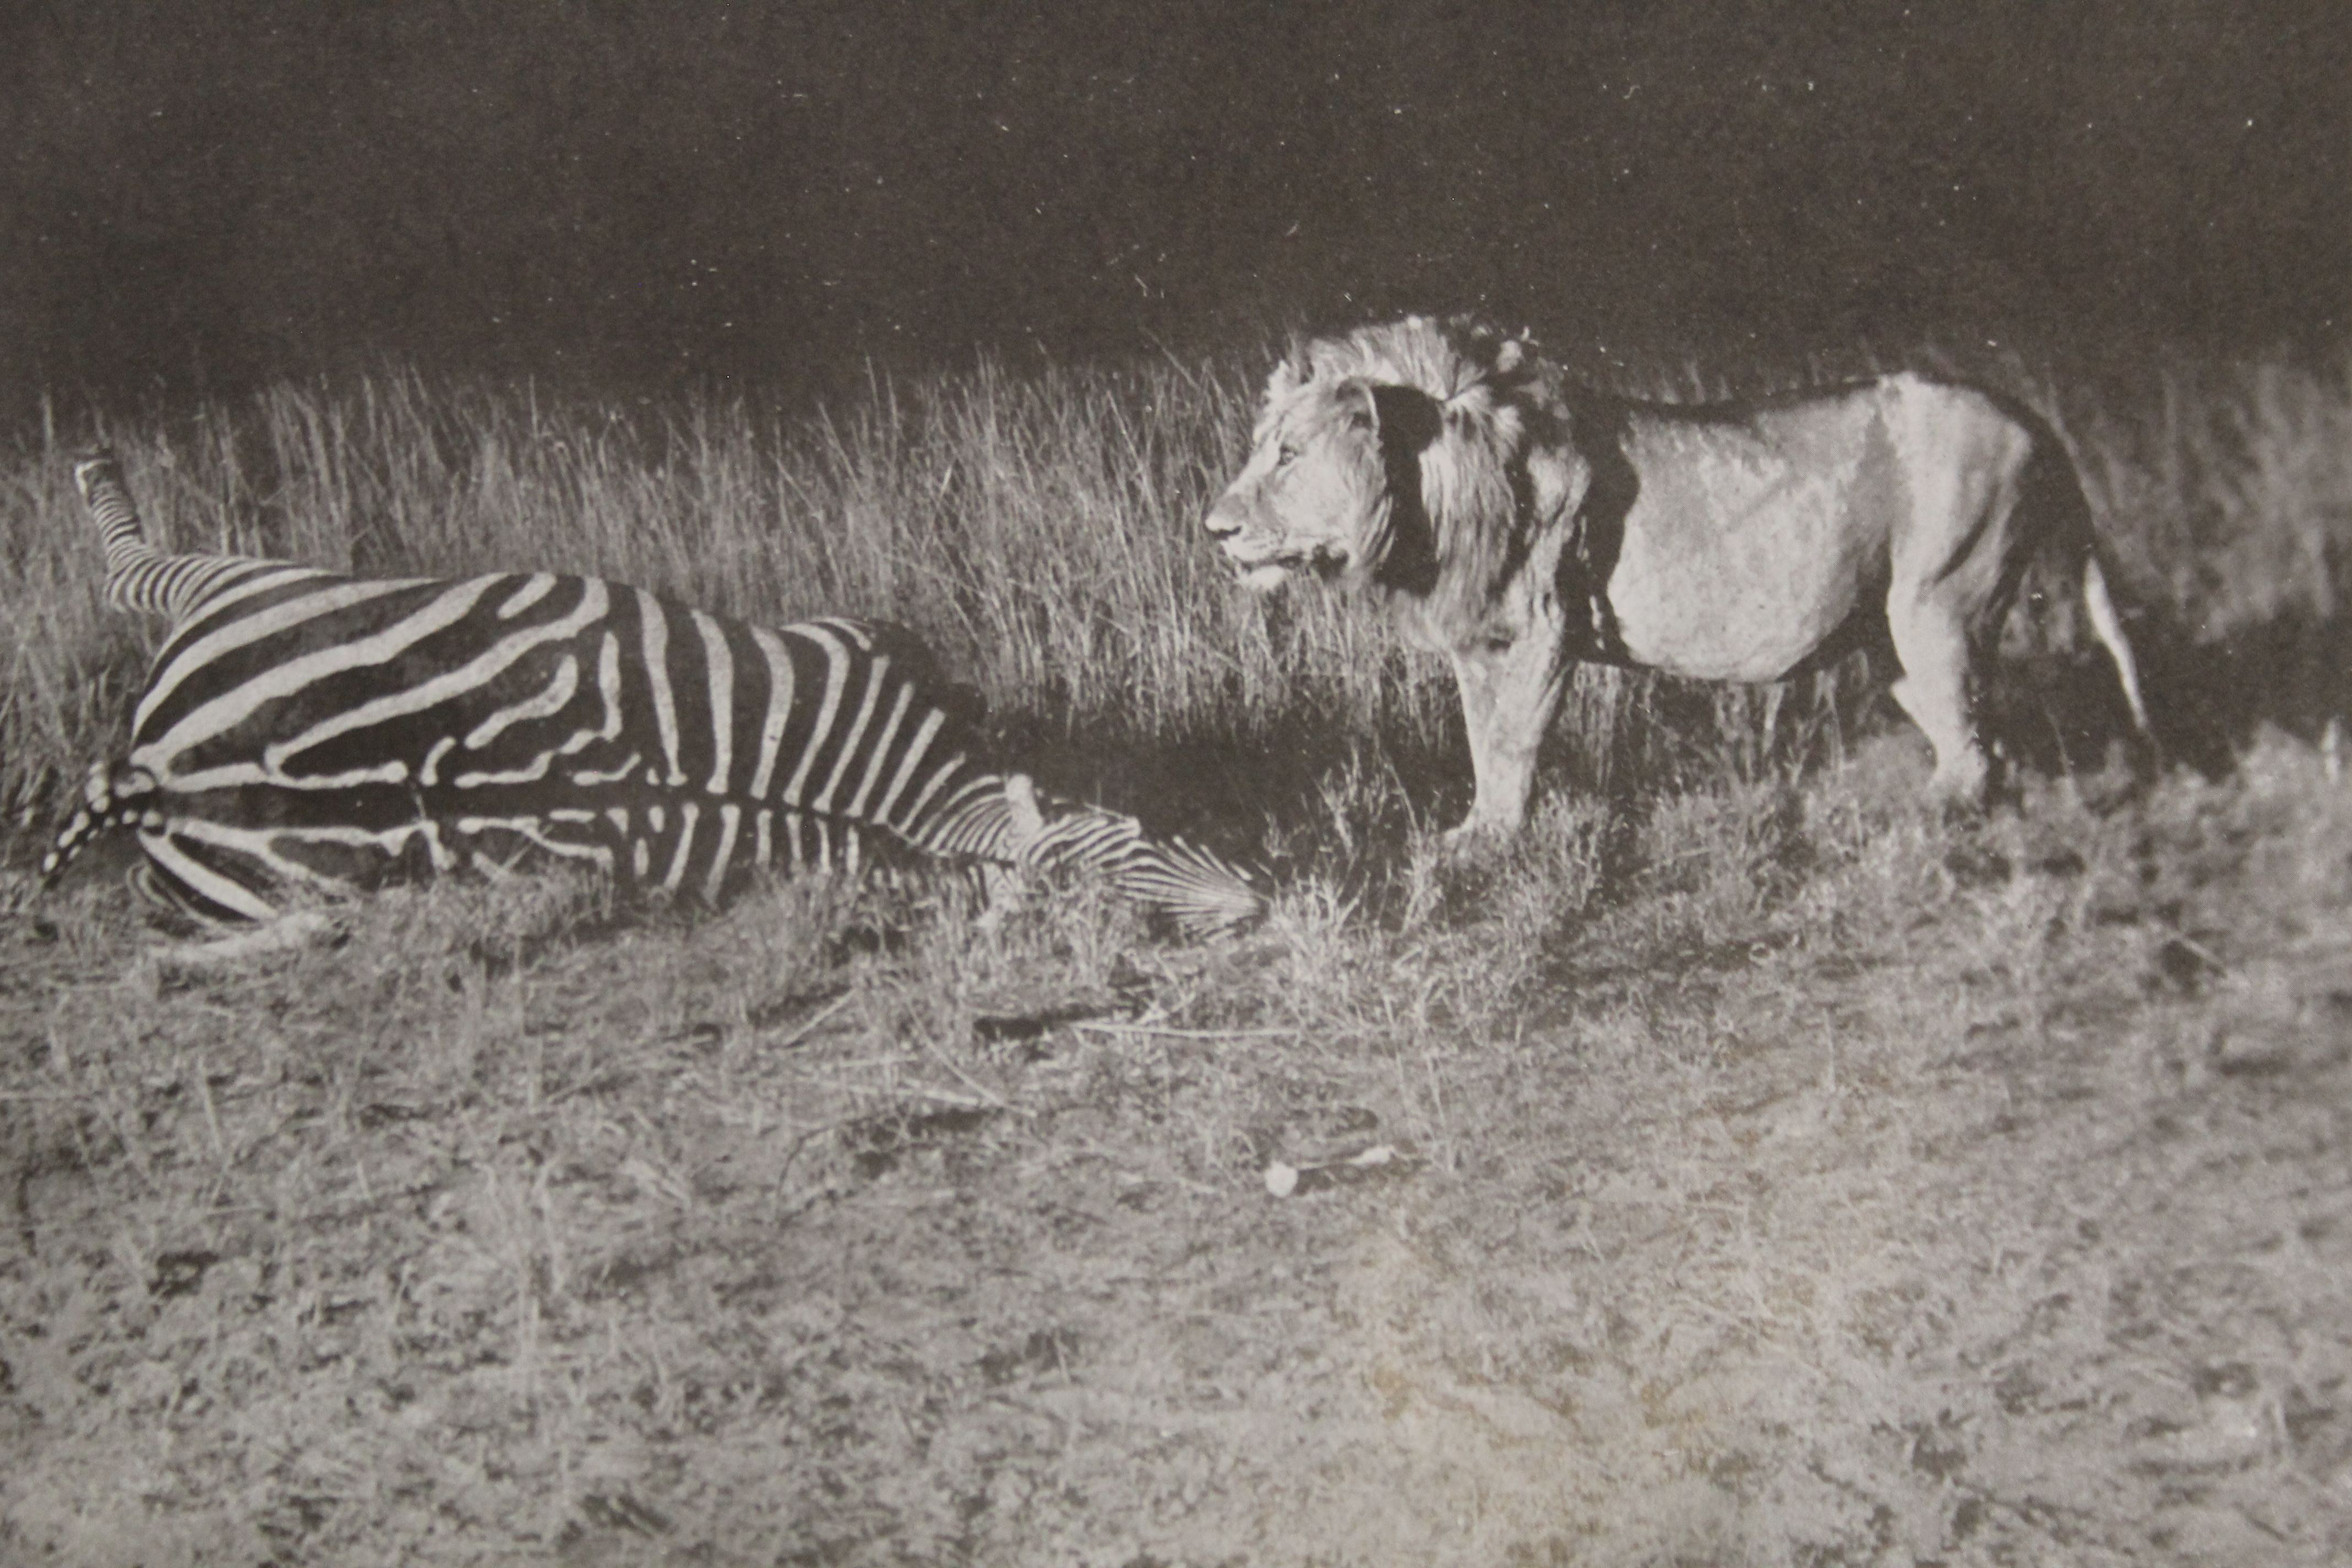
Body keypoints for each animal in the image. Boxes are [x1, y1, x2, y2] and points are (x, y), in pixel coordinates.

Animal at [36, 447, 1270, 940]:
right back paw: (93, 467)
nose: (1259, 911)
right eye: (1128, 858)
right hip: (262, 580)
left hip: (253, 633)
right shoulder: (856, 639)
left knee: (142, 582)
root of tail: (151, 781)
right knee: (136, 568)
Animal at [1213, 310, 2154, 841]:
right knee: (1975, 740)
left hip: (1941, 605)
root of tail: (2027, 412)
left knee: (1972, 751)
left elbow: (1511, 742)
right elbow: (1483, 742)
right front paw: (1476, 830)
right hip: (1895, 634)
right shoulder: (1480, 640)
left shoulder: (1542, 629)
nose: (1216, 529)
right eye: (1263, 449)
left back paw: (1922, 830)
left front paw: (1490, 849)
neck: (1432, 492)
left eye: (1288, 455)